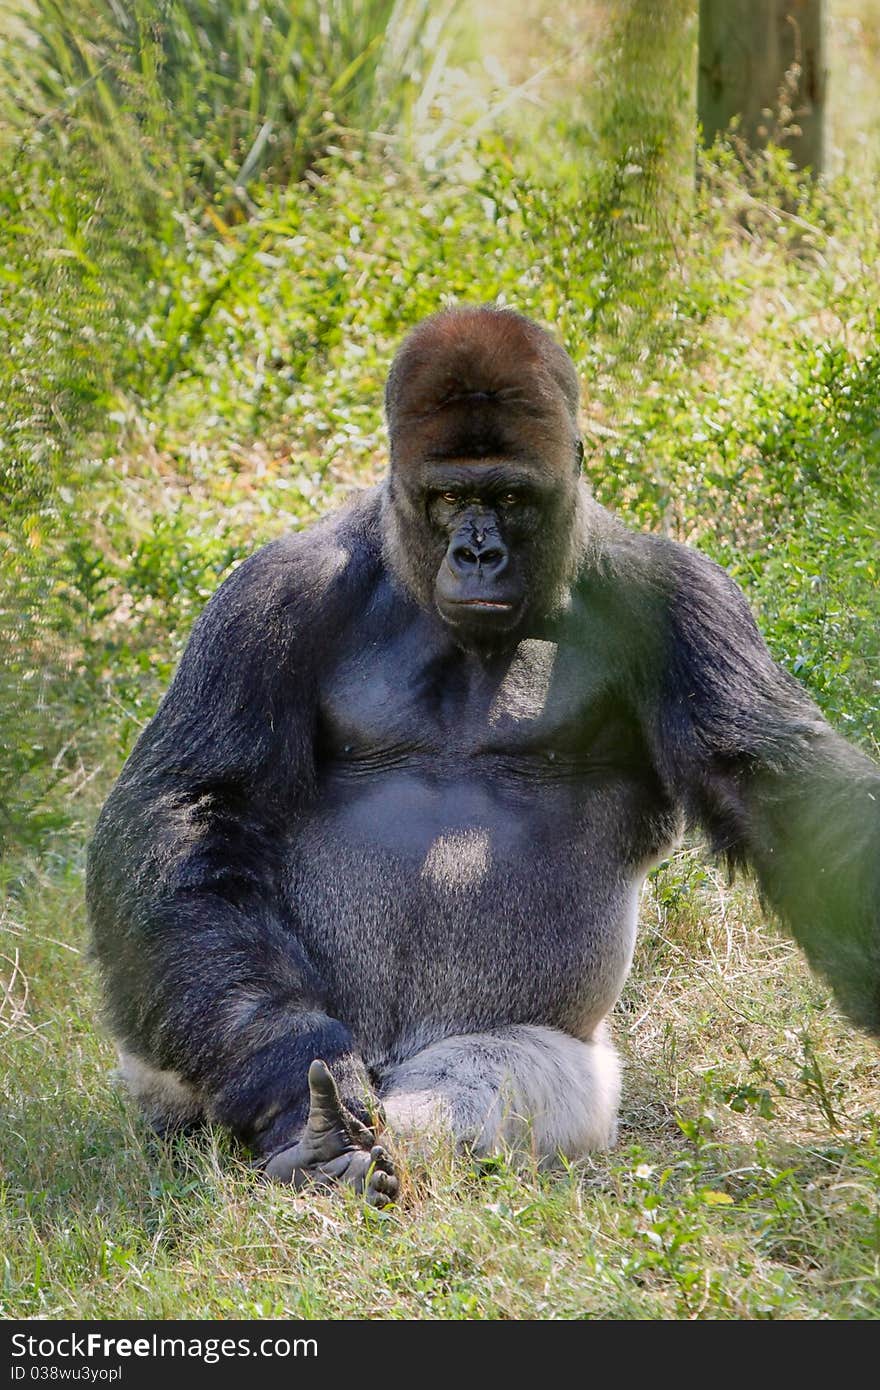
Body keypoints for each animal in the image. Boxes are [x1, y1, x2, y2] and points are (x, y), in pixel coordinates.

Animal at [87, 307, 878, 1206]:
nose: (477, 555)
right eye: (449, 498)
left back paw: (357, 1151)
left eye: (507, 497)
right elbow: (195, 803)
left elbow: (767, 784)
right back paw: (299, 1124)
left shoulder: (681, 597)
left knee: (477, 1084)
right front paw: (282, 1061)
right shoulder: (272, 592)